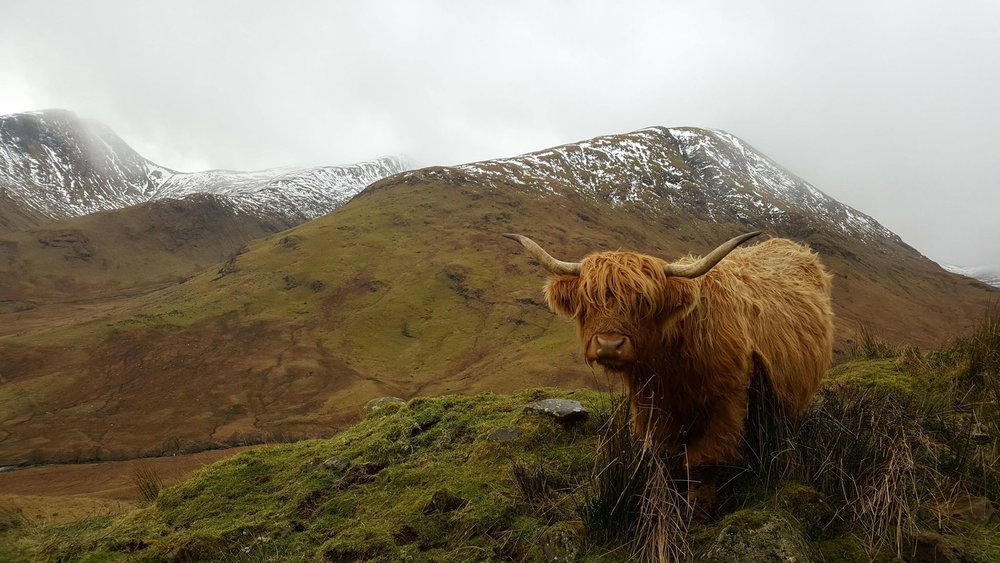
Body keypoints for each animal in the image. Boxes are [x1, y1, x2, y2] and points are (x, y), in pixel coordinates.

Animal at [504, 232, 832, 476]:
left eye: (645, 303)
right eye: (589, 301)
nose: (609, 344)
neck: (670, 366)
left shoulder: (728, 405)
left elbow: (702, 463)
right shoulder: (649, 408)